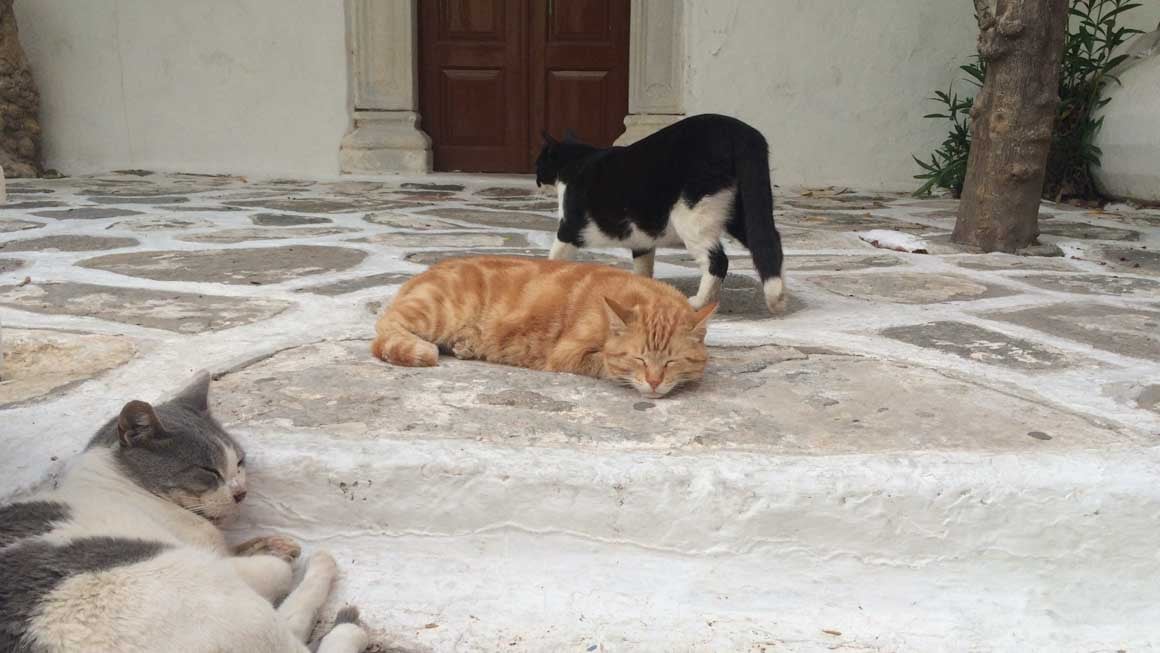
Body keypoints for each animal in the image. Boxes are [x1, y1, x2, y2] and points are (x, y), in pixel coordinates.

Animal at [0, 373, 366, 653]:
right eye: (209, 471)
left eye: (240, 462)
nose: (241, 492)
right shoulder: (212, 557)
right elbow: (275, 569)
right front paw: (279, 553)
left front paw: (273, 544)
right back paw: (340, 606)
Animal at [371, 258, 714, 396]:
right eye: (639, 359)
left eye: (671, 361)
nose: (655, 382)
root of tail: (425, 271)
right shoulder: (568, 354)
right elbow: (605, 363)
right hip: (432, 313)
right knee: (383, 332)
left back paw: (464, 345)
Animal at [533, 113, 788, 313]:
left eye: (538, 164)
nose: (536, 181)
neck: (577, 160)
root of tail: (740, 133)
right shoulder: (640, 239)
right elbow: (642, 269)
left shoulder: (569, 227)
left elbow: (554, 258)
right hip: (743, 210)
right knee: (769, 241)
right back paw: (777, 296)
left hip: (691, 215)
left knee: (718, 260)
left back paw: (699, 303)